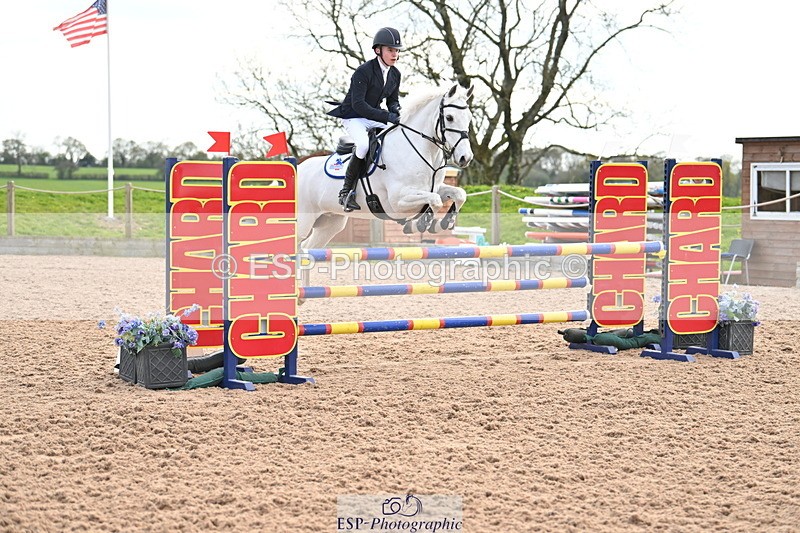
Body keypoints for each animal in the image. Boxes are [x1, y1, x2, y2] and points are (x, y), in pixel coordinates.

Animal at [297, 83, 475, 250]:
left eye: (469, 118)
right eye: (449, 117)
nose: (465, 158)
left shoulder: (433, 188)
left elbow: (459, 194)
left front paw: (443, 222)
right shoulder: (398, 201)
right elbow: (435, 201)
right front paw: (421, 223)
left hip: (330, 223)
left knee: (307, 246)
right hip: (304, 221)